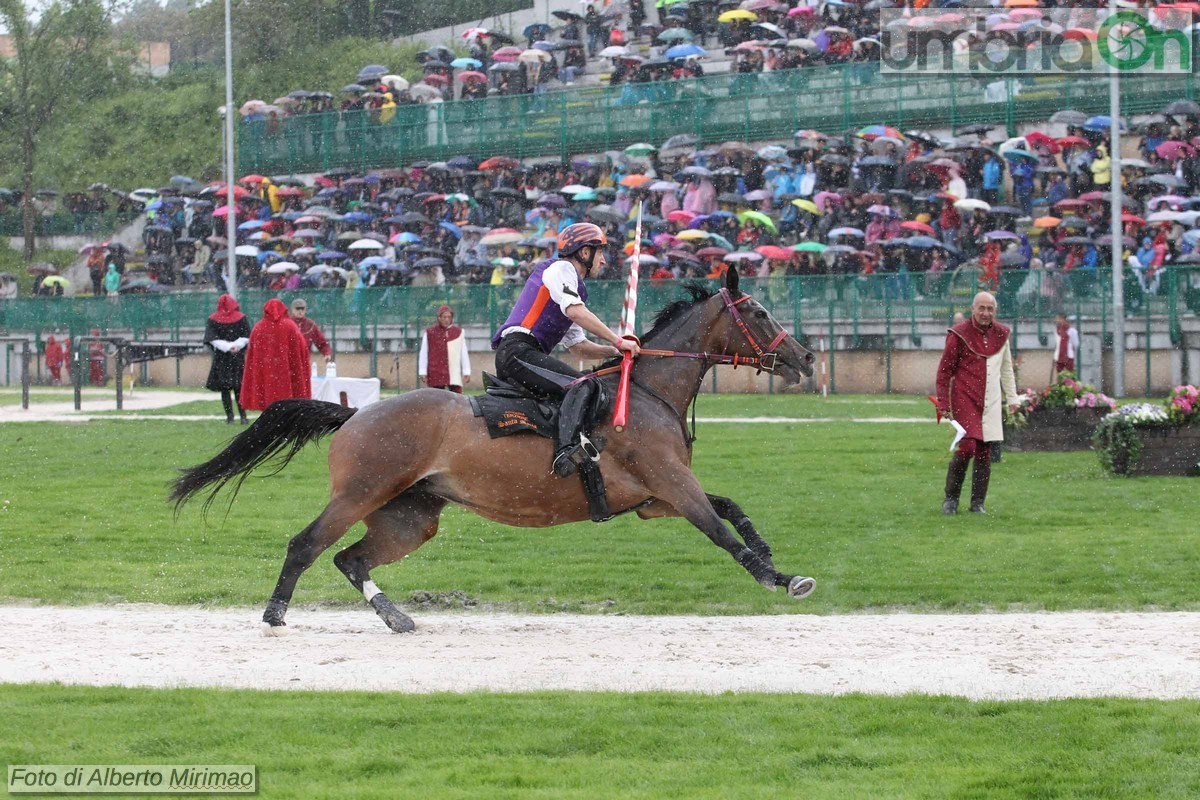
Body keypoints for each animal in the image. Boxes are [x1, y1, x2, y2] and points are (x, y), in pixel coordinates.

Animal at [171, 266, 816, 633]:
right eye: (760, 312)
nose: (806, 357)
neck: (647, 391)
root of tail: (357, 412)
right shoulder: (671, 486)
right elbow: (719, 528)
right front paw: (773, 576)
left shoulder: (655, 498)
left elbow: (732, 509)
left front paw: (777, 564)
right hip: (362, 492)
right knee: (307, 544)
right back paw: (275, 614)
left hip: (411, 517)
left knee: (351, 560)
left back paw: (395, 616)